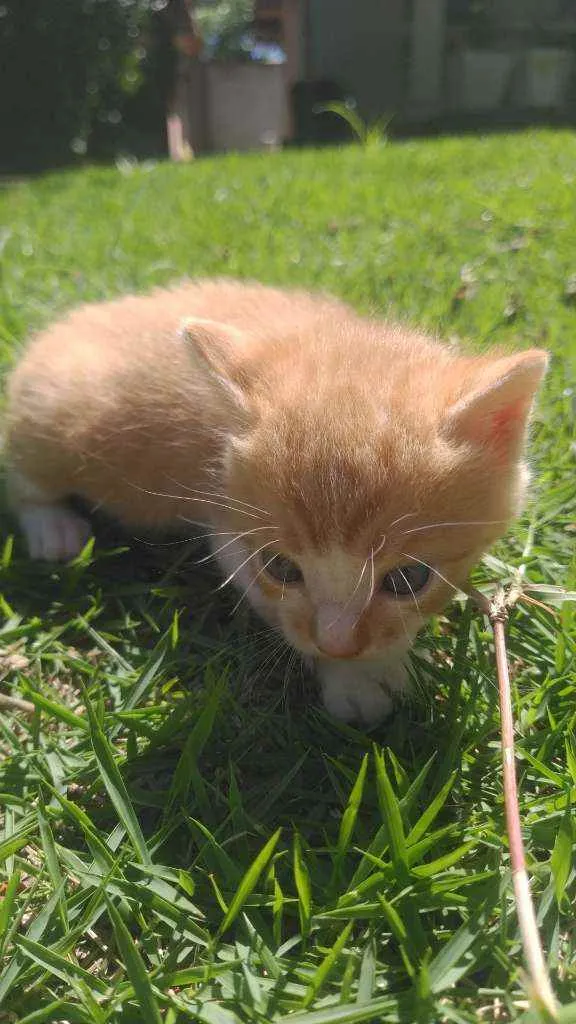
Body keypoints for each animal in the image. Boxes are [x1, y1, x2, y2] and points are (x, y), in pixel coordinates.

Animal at [4, 280, 545, 724]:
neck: (329, 337)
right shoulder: (224, 521)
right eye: (282, 568)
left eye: (408, 579)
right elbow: (279, 611)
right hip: (59, 425)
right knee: (24, 473)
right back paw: (53, 530)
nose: (337, 642)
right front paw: (357, 679)